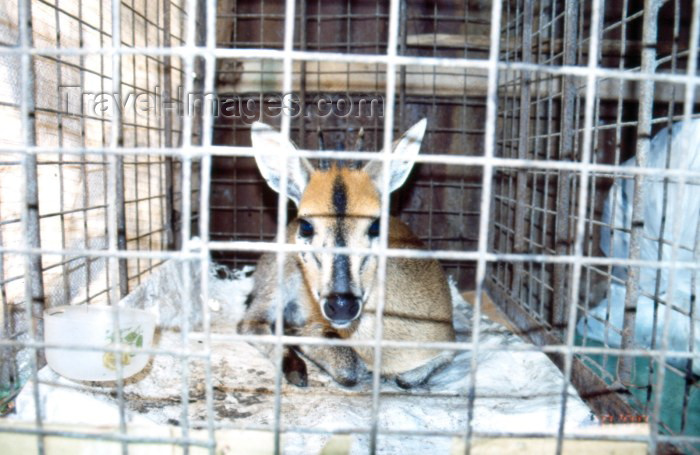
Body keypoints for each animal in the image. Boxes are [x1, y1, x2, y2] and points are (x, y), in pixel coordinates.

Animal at [238, 119, 456, 390]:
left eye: (375, 225)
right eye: (306, 226)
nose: (341, 306)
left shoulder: (449, 342)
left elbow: (414, 375)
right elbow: (350, 366)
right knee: (250, 323)